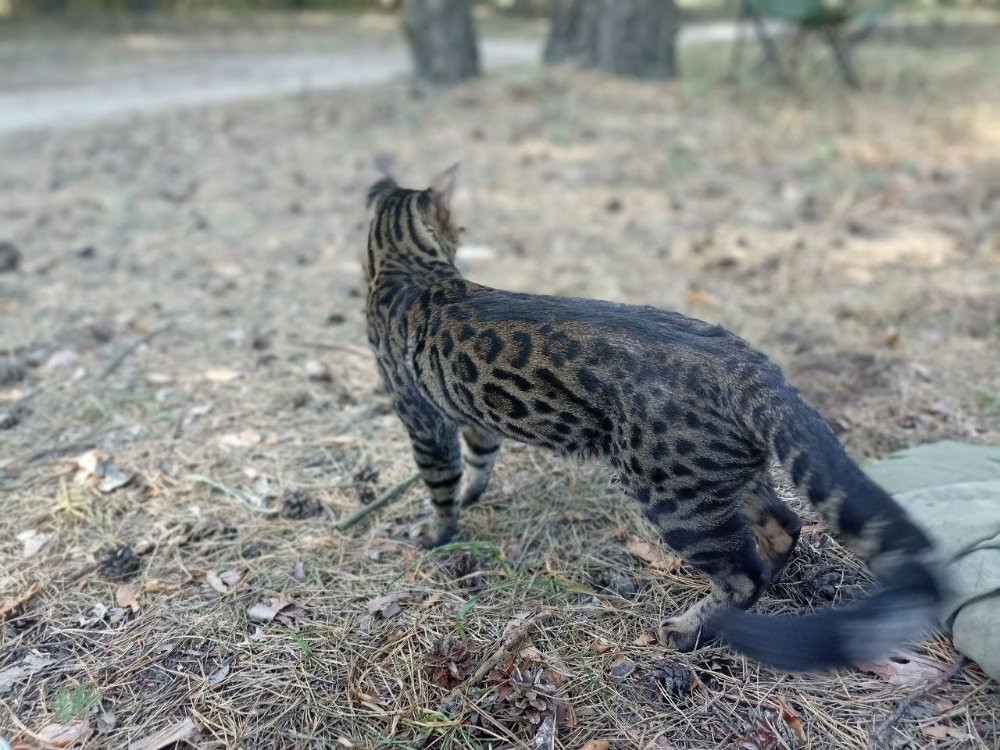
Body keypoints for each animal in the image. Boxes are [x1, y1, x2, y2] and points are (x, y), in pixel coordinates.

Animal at [364, 167, 940, 672]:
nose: (461, 235)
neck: (407, 268)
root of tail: (749, 364)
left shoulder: (421, 418)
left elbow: (441, 483)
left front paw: (436, 533)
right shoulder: (468, 415)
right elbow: (478, 459)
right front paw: (471, 498)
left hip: (675, 497)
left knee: (743, 575)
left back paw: (689, 629)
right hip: (721, 478)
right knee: (784, 525)